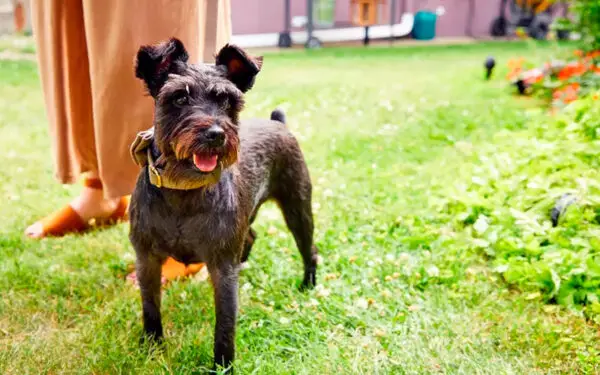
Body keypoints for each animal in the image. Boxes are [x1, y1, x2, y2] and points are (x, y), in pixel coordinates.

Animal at [128, 39, 318, 374]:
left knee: (309, 250)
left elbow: (225, 325)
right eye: (179, 97)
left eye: (228, 100)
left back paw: (307, 284)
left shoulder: (222, 268)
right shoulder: (147, 260)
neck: (184, 190)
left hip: (298, 211)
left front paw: (223, 365)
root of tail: (277, 123)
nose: (216, 134)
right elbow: (150, 308)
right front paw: (152, 347)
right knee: (252, 236)